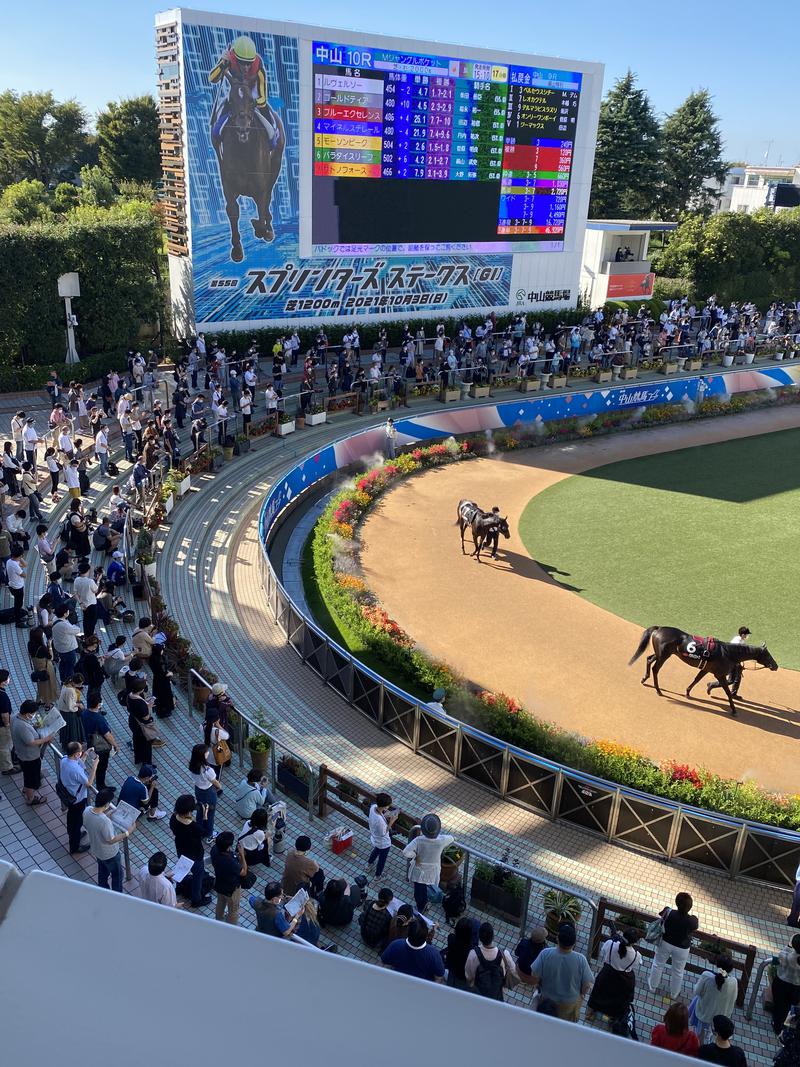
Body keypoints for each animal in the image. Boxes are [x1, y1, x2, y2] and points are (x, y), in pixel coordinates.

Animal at [214, 80, 285, 261]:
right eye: (230, 101)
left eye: (252, 102)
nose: (242, 129)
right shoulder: (228, 182)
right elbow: (233, 210)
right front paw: (237, 249)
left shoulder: (261, 183)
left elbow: (262, 204)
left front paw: (263, 229)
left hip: (276, 166)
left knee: (267, 199)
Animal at [631, 623, 780, 717]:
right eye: (768, 655)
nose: (776, 666)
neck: (728, 652)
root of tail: (659, 628)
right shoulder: (720, 675)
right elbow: (727, 692)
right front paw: (734, 709)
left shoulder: (706, 669)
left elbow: (696, 679)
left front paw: (688, 692)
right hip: (664, 655)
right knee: (656, 668)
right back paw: (658, 690)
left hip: (661, 654)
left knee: (649, 659)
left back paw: (644, 679)